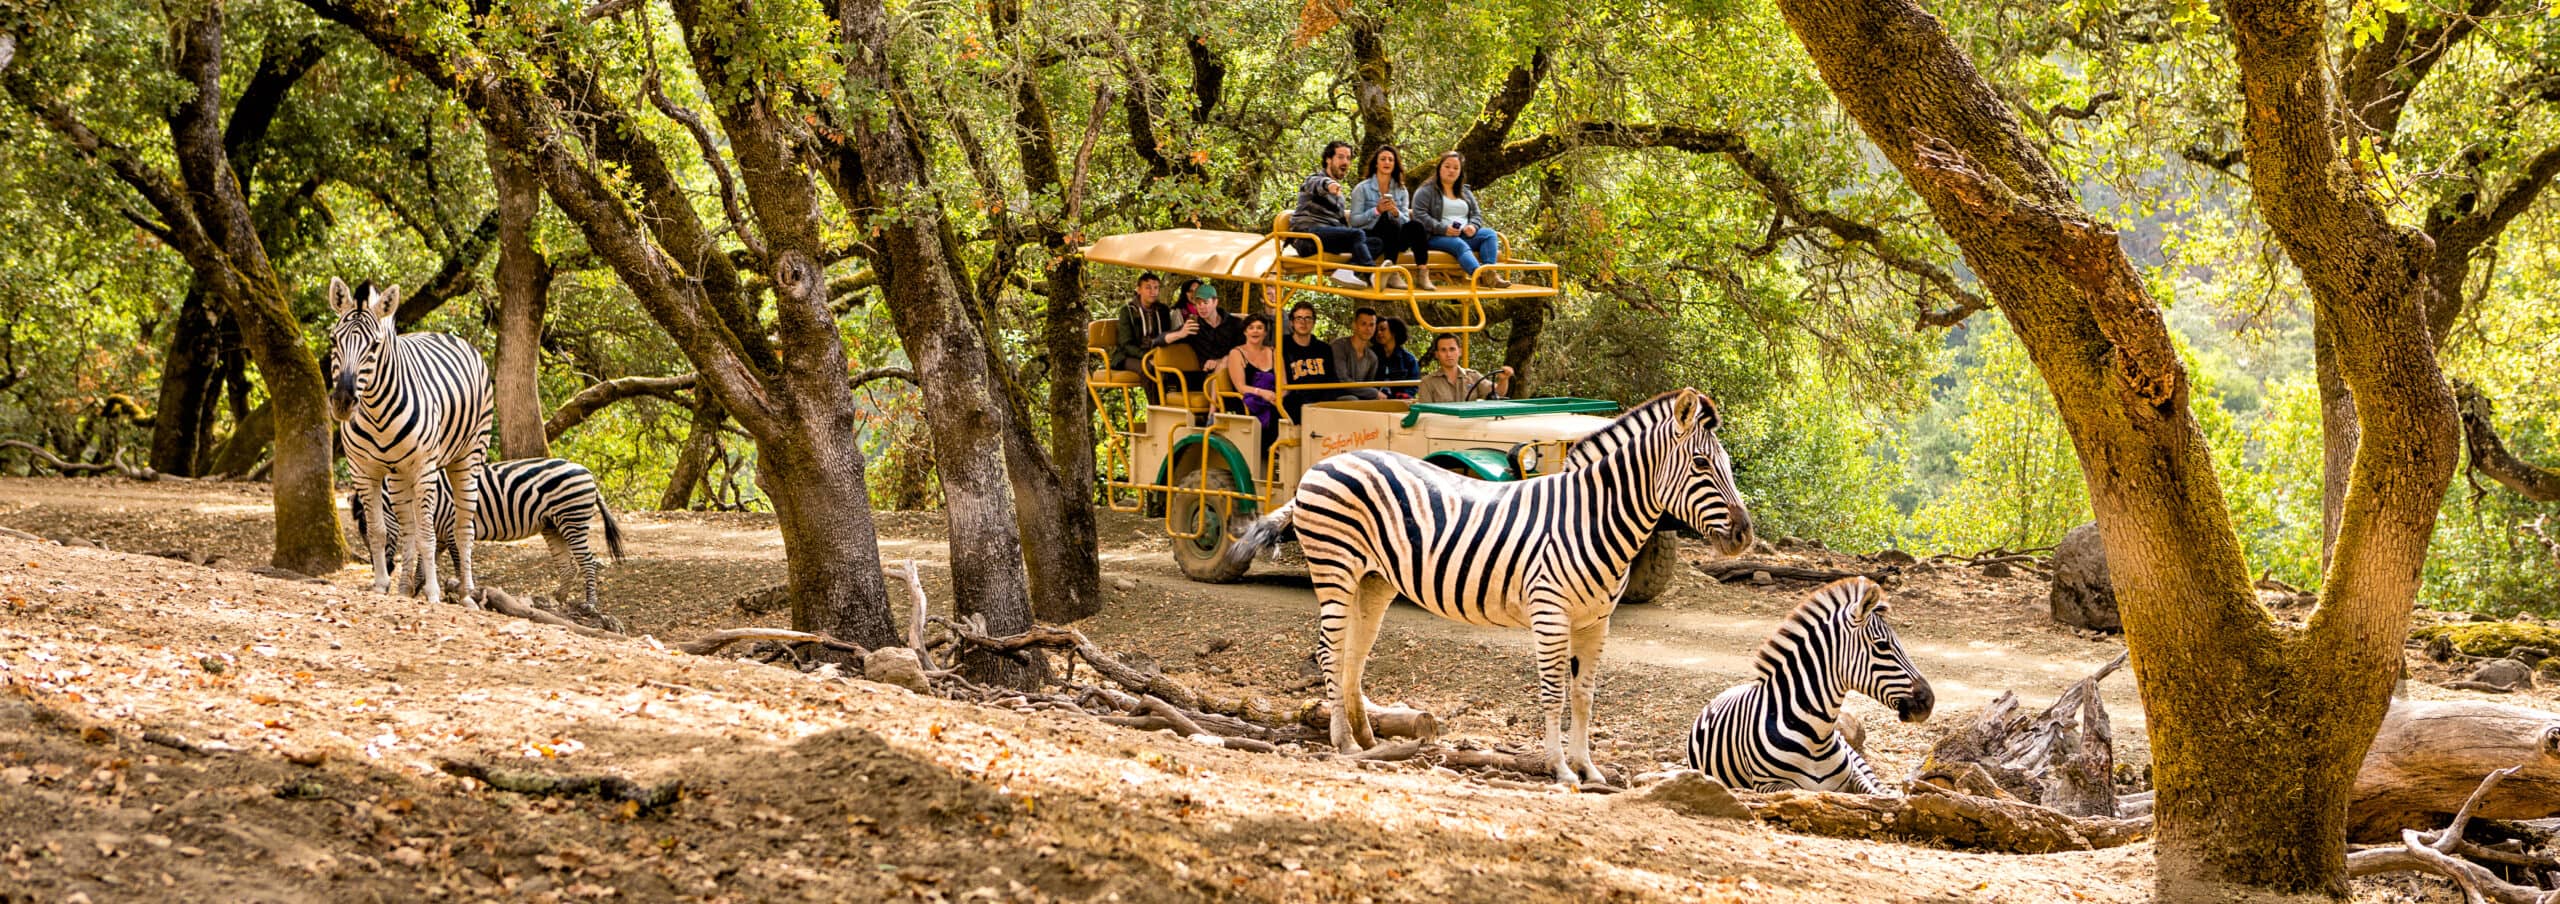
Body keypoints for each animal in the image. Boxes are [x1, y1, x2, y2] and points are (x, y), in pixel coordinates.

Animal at [327, 276, 491, 604]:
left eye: (375, 346)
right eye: (334, 341)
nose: (342, 402)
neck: (376, 412)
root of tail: (450, 336)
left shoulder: (424, 469)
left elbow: (428, 535)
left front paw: (433, 593)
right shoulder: (363, 471)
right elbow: (379, 531)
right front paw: (381, 585)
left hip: (468, 457)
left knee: (463, 528)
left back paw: (467, 595)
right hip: (399, 475)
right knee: (408, 530)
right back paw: (404, 588)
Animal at [350, 460, 624, 622]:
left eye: (369, 535)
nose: (383, 568)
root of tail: (588, 474)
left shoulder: (451, 530)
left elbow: (459, 564)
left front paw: (461, 594)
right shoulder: (440, 536)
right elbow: (422, 567)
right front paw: (418, 592)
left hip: (572, 518)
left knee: (588, 562)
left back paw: (589, 604)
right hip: (552, 525)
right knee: (568, 567)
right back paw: (557, 601)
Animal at [1223, 386, 1761, 783]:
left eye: (1726, 465)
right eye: (1701, 465)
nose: (1744, 535)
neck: (1589, 516)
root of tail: (1321, 465)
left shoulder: (1596, 620)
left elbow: (1585, 695)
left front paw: (1590, 768)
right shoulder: (1550, 613)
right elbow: (1554, 693)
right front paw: (1560, 769)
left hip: (1373, 580)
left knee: (1355, 653)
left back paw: (1369, 741)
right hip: (1333, 568)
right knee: (1330, 651)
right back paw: (1343, 742)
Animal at [1689, 573, 1925, 793]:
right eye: (1883, 645)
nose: (1928, 700)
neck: (1815, 738)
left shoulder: (1851, 776)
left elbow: (1875, 793)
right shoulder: (1768, 785)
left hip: (1854, 754)